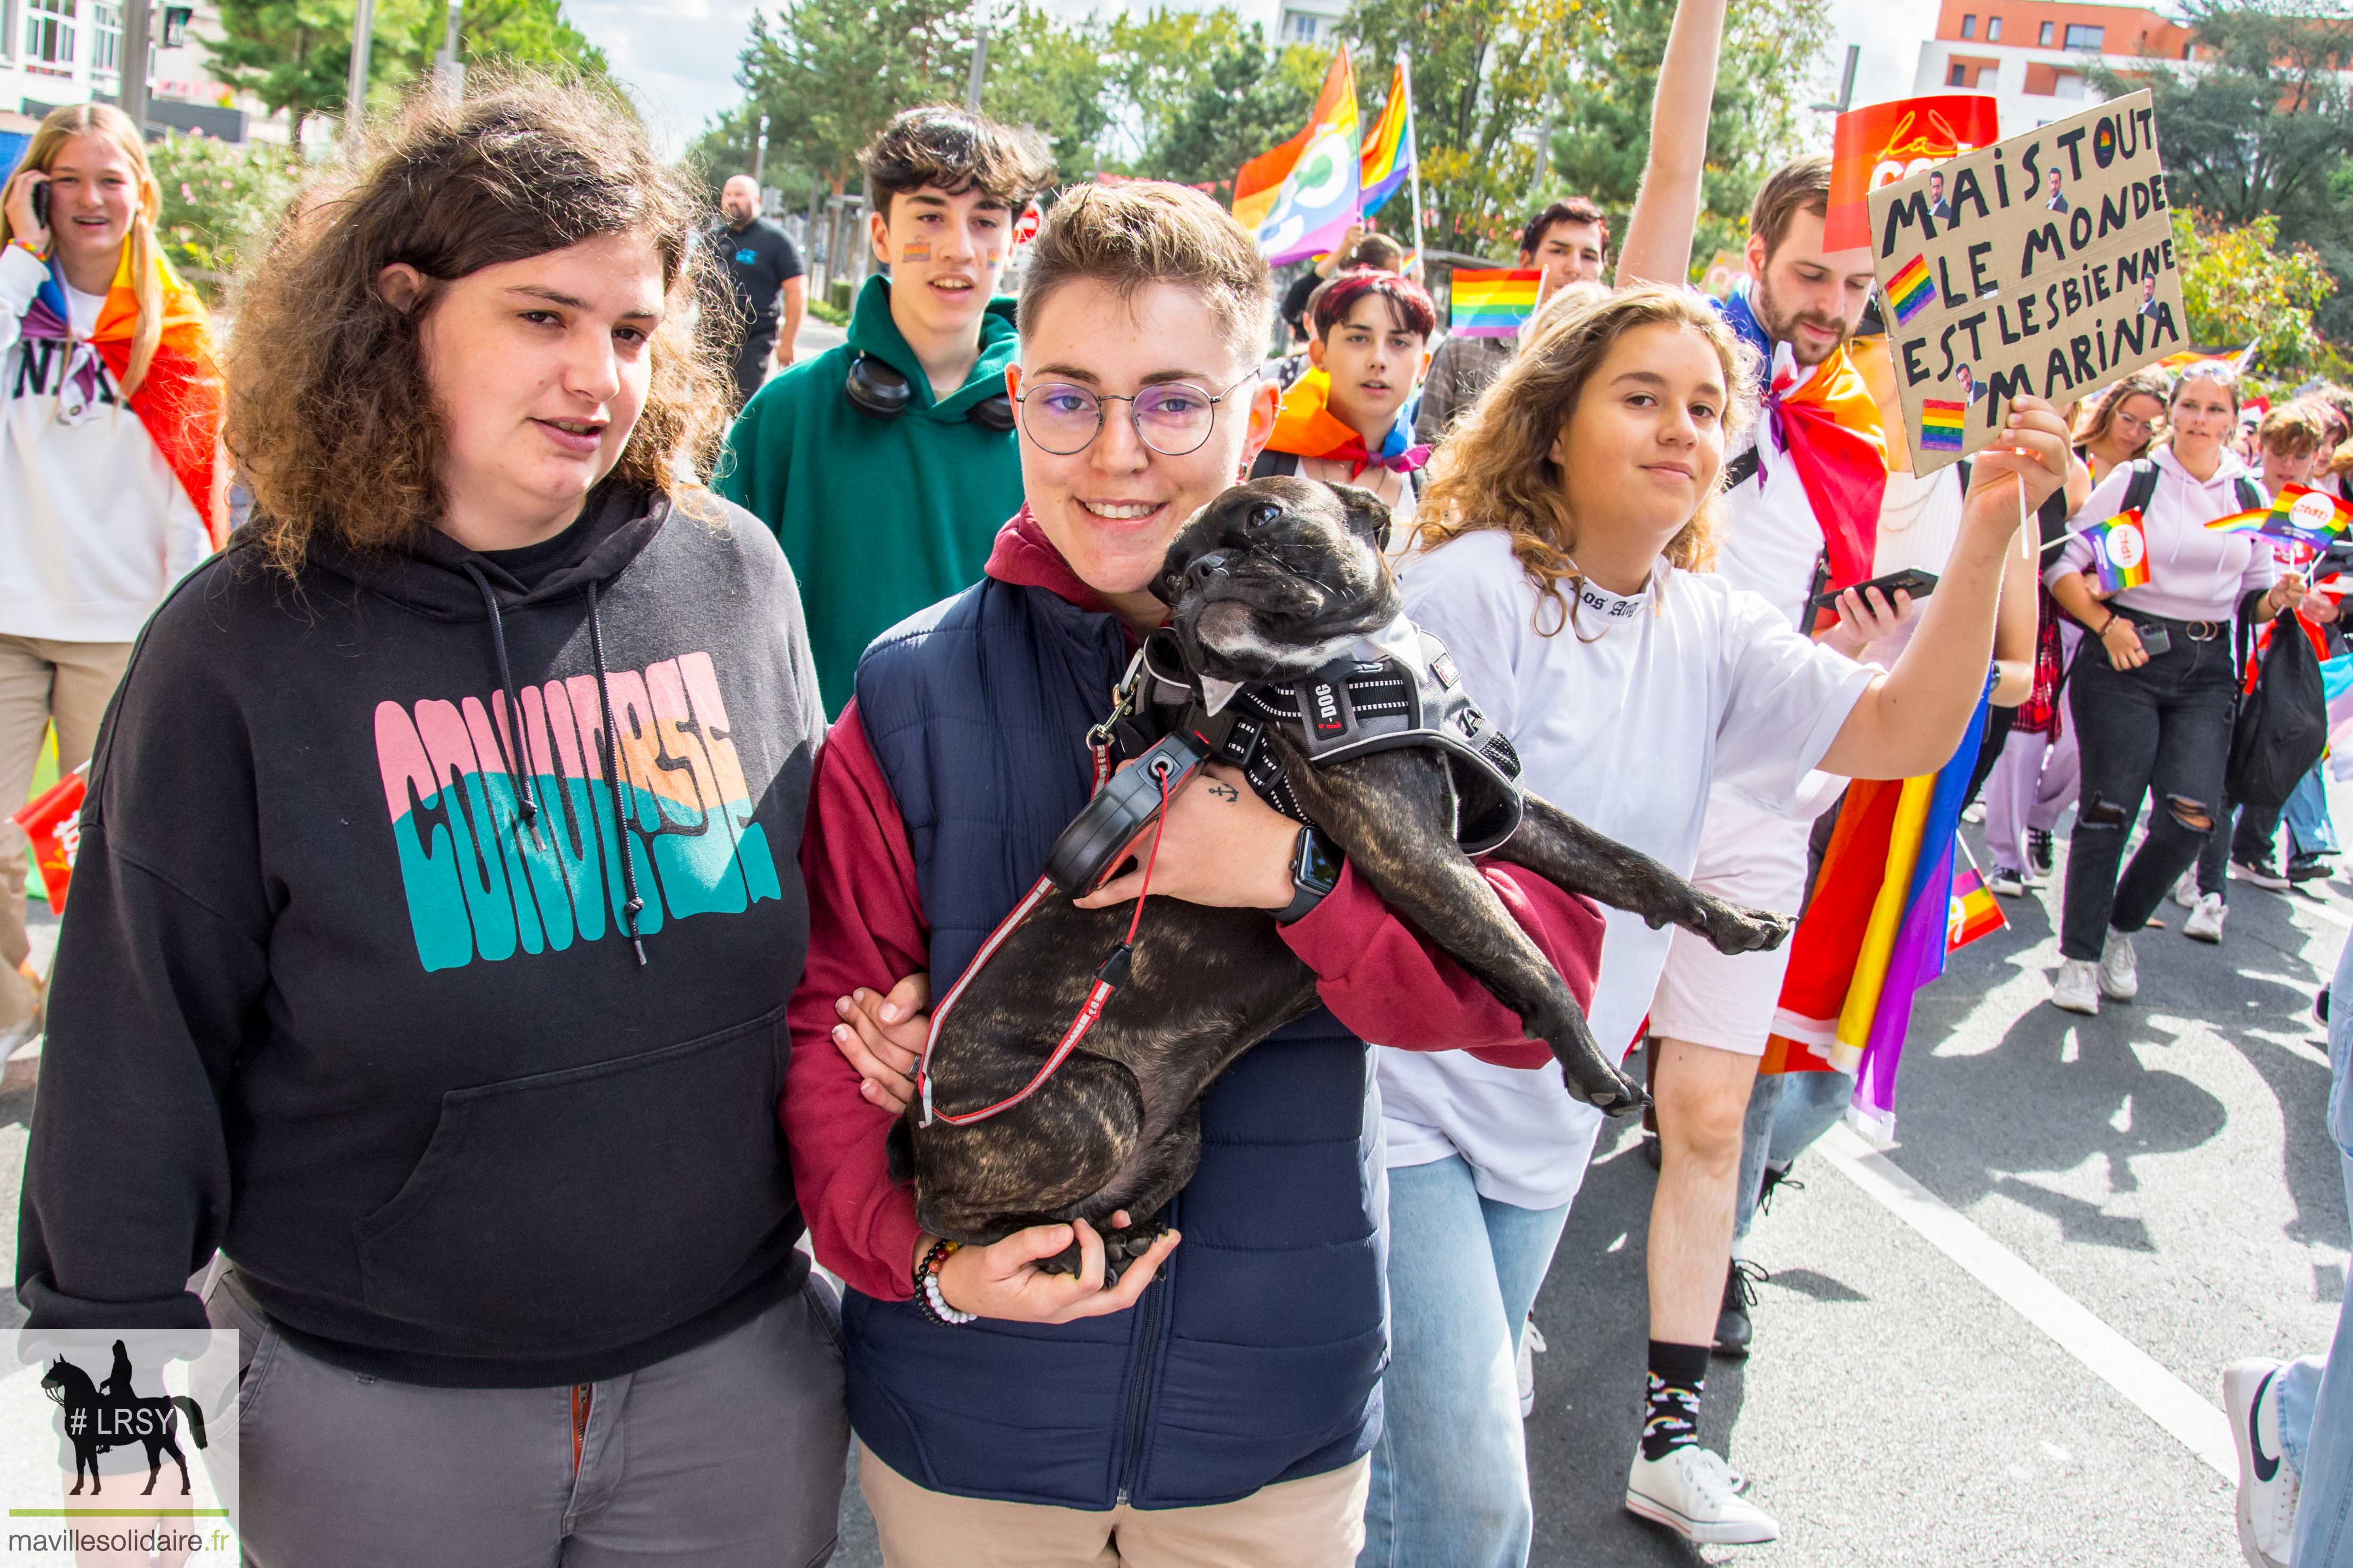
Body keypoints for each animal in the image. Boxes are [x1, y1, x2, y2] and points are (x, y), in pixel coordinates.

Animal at [889, 474, 1788, 1279]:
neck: (1346, 669)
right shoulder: (1419, 853)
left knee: (1082, 1204)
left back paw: (1114, 1239)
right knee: (959, 1217)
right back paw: (1071, 1251)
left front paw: (1732, 920)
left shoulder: (1496, 817)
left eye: (1266, 516)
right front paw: (1596, 1068)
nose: (1200, 572)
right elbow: (1530, 960)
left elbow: (1626, 864)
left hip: (1176, 1138)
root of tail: (917, 1133)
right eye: (1168, 577)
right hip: (1094, 1099)